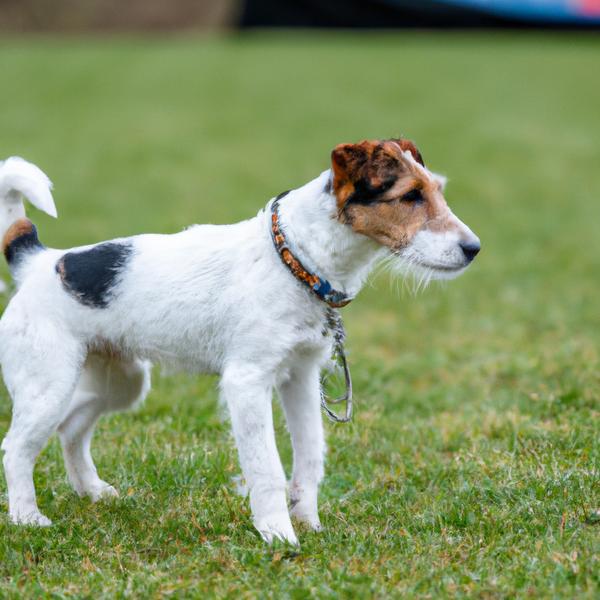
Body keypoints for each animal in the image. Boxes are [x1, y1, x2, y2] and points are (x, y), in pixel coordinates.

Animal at [0, 142, 478, 544]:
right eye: (410, 196)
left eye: (435, 190)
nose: (473, 248)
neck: (294, 260)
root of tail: (38, 261)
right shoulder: (248, 382)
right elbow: (267, 467)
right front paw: (279, 536)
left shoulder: (302, 378)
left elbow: (309, 458)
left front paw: (308, 522)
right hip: (49, 385)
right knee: (17, 448)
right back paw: (28, 518)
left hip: (120, 383)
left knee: (71, 429)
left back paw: (93, 491)